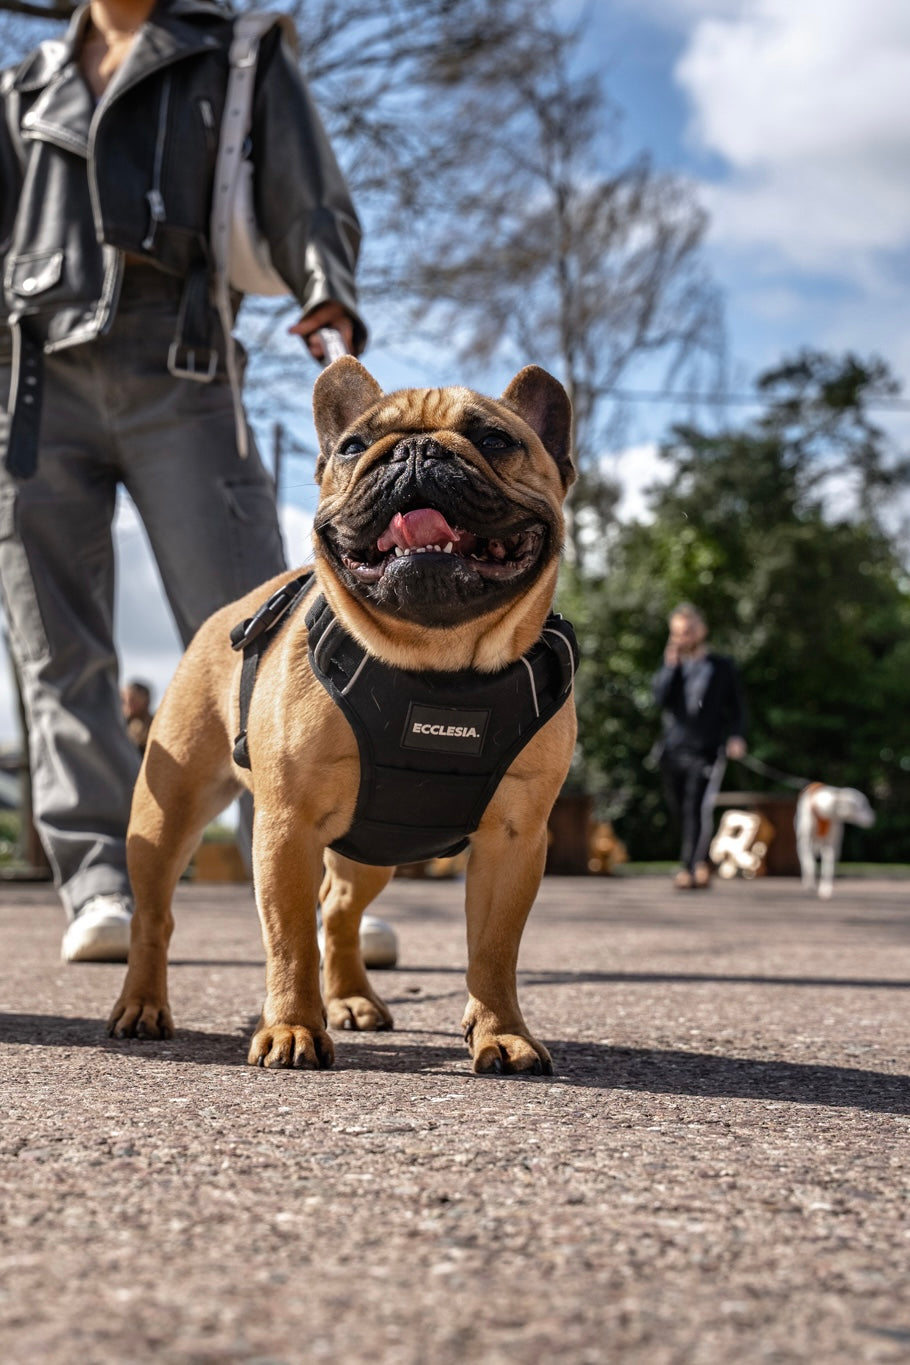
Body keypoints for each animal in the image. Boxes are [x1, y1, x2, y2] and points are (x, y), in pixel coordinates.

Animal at [107, 363, 575, 1075]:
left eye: (495, 440)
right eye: (354, 446)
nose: (417, 450)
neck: (435, 662)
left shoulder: (515, 841)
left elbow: (494, 950)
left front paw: (502, 1033)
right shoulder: (286, 830)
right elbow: (290, 941)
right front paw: (292, 1029)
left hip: (376, 848)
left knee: (340, 913)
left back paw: (353, 999)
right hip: (166, 815)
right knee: (155, 918)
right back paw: (141, 1006)